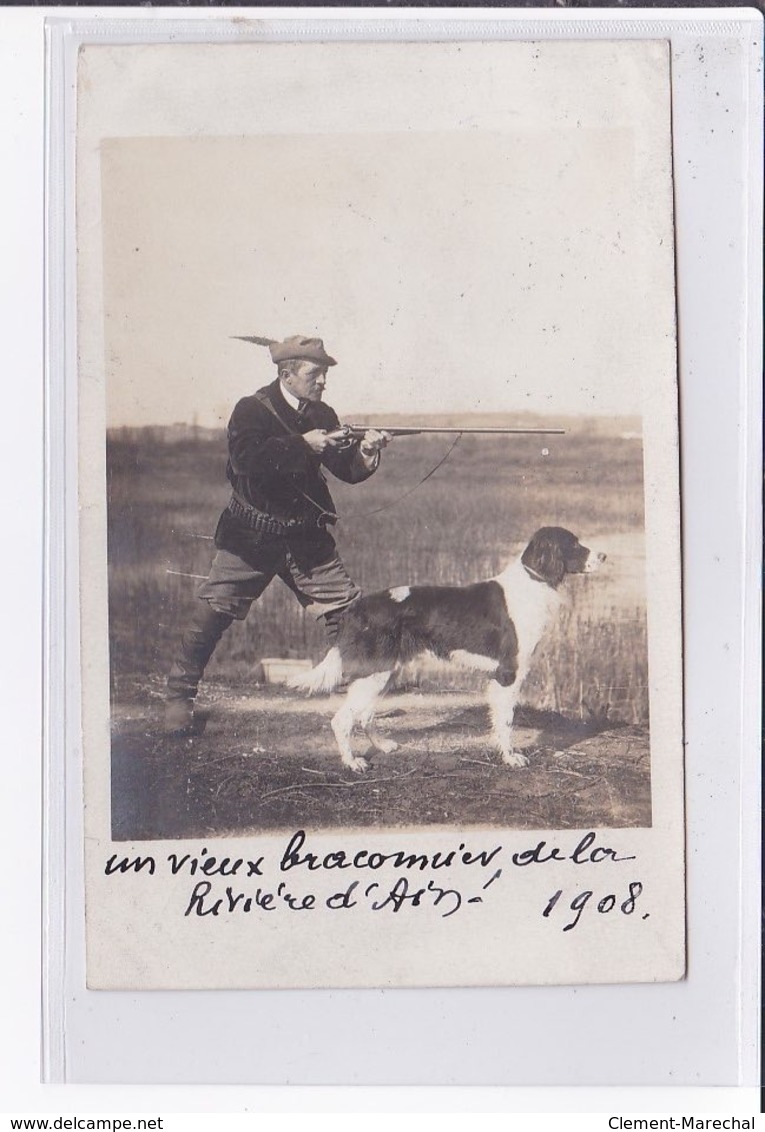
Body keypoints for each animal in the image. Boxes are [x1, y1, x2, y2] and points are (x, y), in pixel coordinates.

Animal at [289, 527, 606, 774]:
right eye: (574, 543)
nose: (604, 556)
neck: (532, 583)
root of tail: (355, 609)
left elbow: (498, 720)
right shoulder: (509, 673)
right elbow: (506, 721)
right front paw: (511, 757)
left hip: (385, 672)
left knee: (364, 715)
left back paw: (383, 746)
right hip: (375, 672)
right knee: (342, 720)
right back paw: (352, 762)